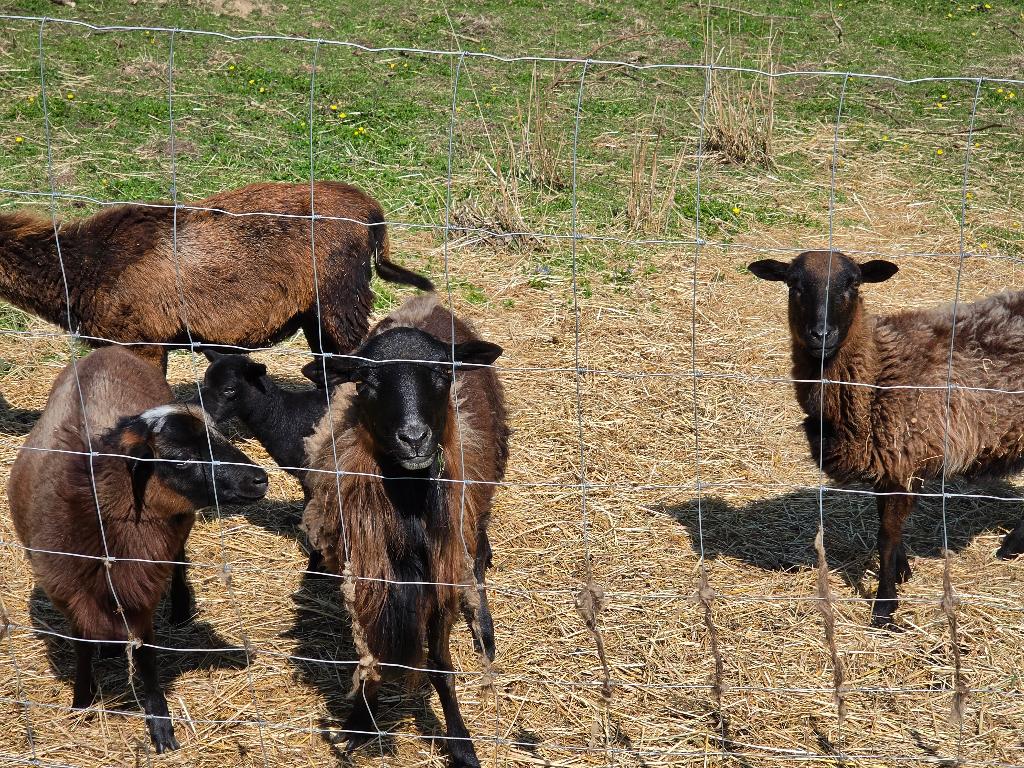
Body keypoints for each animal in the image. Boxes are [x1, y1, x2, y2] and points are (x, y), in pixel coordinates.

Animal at [8, 346, 268, 752]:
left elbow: (146, 654)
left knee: (178, 561)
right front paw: (82, 701)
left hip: (178, 529)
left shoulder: (143, 585)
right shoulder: (70, 592)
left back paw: (179, 610)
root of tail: (109, 349)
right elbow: (82, 647)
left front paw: (161, 727)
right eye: (181, 458)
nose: (261, 480)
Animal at [301, 295, 508, 767]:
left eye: (442, 373)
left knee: (477, 555)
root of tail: (427, 304)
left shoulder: (442, 574)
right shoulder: (366, 568)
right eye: (366, 382)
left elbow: (441, 666)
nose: (414, 438)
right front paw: (361, 721)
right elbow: (371, 653)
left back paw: (484, 629)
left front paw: (461, 743)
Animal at [750, 250, 1024, 627]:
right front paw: (901, 571)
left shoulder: (903, 460)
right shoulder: (887, 465)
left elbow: (886, 536)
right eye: (793, 284)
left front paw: (884, 606)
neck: (878, 371)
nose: (822, 334)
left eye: (853, 283)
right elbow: (887, 526)